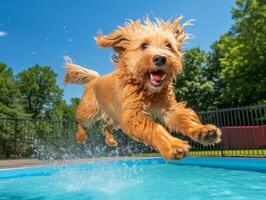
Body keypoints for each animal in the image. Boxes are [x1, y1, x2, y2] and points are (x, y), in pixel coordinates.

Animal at [63, 17, 221, 161]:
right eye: (144, 45)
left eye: (168, 45)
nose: (160, 58)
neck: (148, 91)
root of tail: (95, 78)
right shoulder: (132, 115)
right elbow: (154, 127)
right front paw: (173, 145)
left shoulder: (168, 108)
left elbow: (184, 117)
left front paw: (202, 131)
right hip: (89, 112)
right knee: (81, 122)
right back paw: (81, 136)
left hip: (116, 117)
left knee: (106, 126)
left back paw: (110, 140)